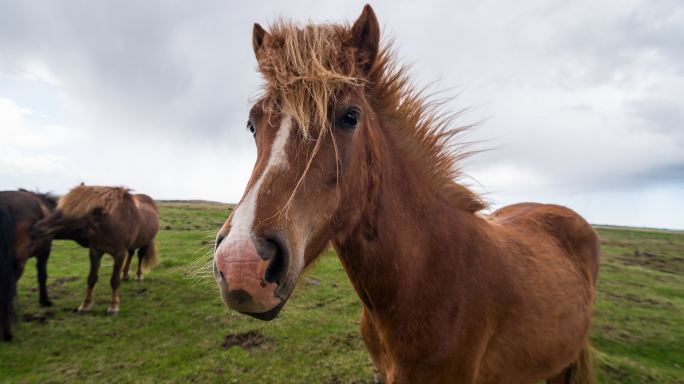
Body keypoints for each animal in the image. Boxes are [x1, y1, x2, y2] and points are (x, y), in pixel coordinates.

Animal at [34, 186, 160, 316]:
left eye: (73, 212)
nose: (38, 227)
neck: (111, 224)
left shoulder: (119, 254)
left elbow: (114, 281)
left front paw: (113, 306)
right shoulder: (95, 252)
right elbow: (91, 278)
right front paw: (85, 305)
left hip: (146, 241)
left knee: (140, 255)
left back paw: (139, 275)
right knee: (131, 254)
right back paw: (125, 275)